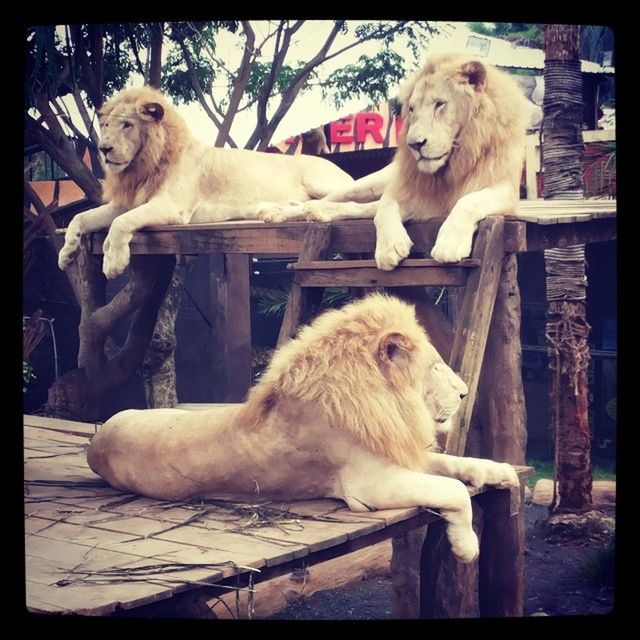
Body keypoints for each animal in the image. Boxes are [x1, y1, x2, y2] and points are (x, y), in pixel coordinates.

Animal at [87, 292, 520, 564]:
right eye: (435, 367)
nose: (464, 393)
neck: (384, 401)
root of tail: (97, 439)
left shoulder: (395, 453)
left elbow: (457, 464)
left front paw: (501, 472)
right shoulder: (371, 484)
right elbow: (453, 491)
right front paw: (467, 548)